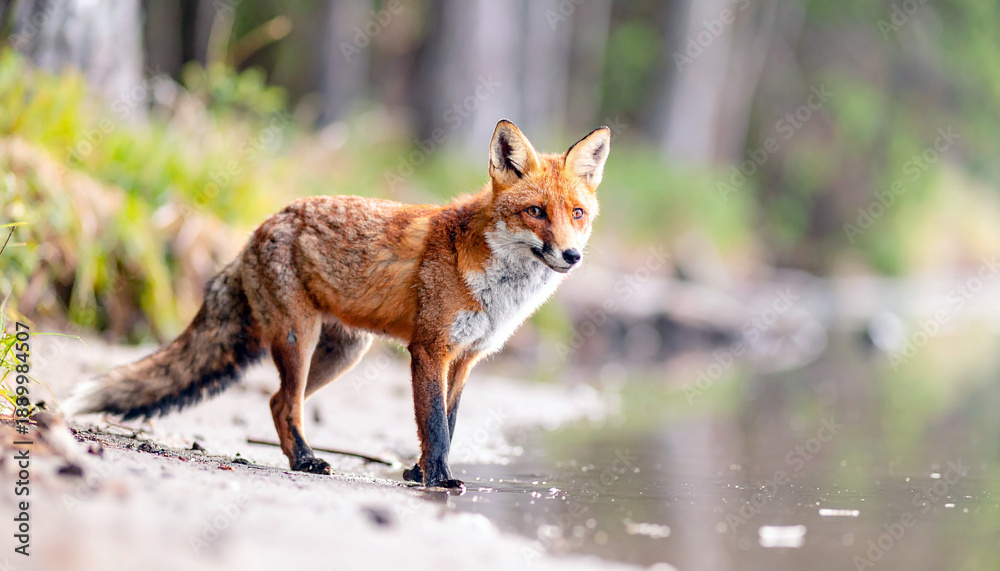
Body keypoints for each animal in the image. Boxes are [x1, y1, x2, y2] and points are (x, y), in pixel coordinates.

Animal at [64, 119, 610, 489]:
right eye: (535, 211)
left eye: (577, 213)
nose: (572, 255)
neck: (496, 284)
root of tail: (257, 229)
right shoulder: (429, 350)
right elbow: (435, 425)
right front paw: (437, 479)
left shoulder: (465, 359)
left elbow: (447, 424)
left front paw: (417, 473)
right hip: (298, 339)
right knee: (284, 403)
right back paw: (307, 462)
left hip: (340, 355)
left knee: (275, 402)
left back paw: (300, 456)